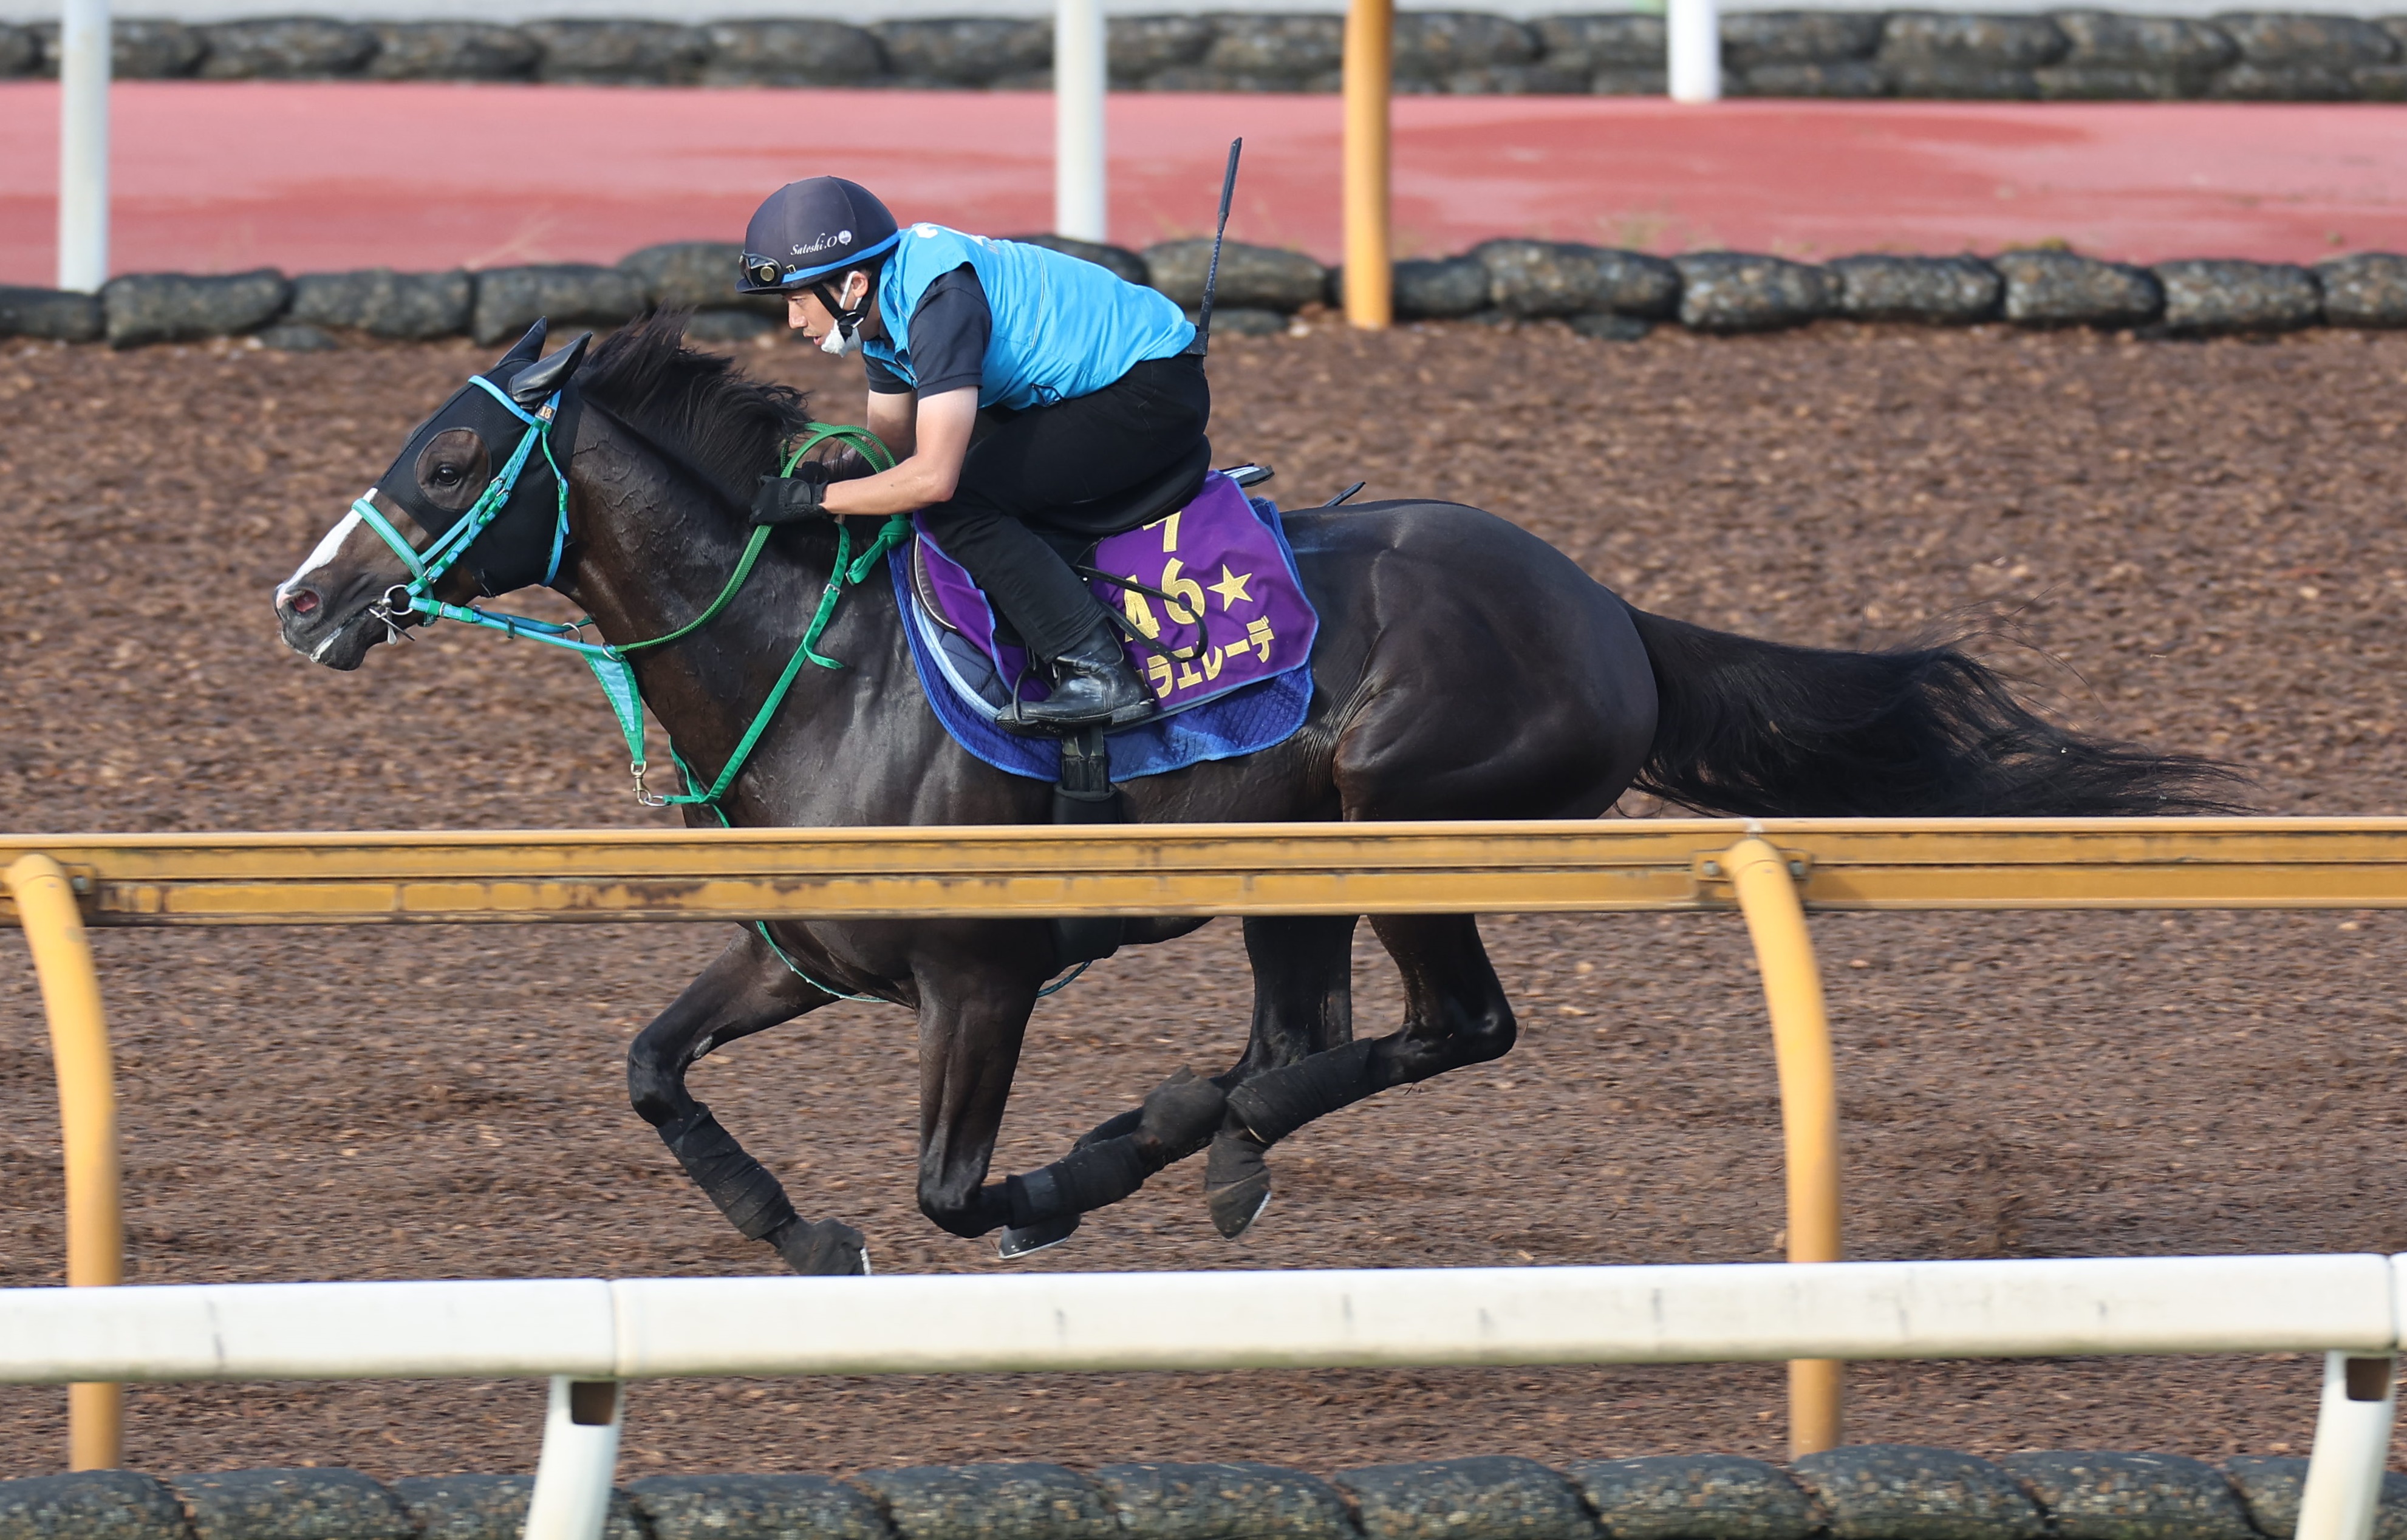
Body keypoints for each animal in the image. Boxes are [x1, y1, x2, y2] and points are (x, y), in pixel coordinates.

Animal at [276, 313, 2233, 1270]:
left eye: (449, 461)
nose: (303, 601)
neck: (821, 672)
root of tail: (1607, 610)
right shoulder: (808, 953)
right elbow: (651, 1066)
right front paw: (798, 1230)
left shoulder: (980, 978)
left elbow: (957, 1192)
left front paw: (1054, 1179)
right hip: (1292, 871)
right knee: (1307, 1040)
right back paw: (1202, 1134)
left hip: (1402, 823)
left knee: (1447, 1030)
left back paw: (1176, 1144)